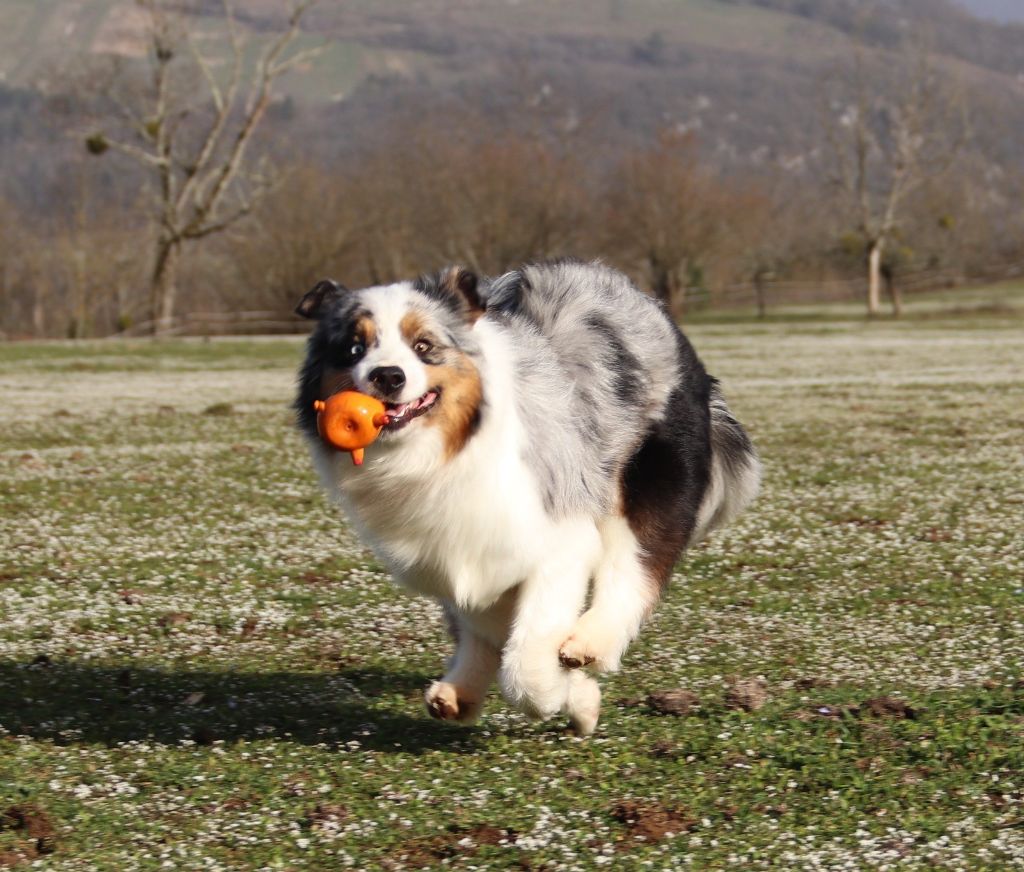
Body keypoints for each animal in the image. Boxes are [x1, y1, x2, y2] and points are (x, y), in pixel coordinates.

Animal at [292, 260, 757, 736]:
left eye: (423, 345)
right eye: (353, 349)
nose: (388, 375)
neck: (440, 452)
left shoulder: (556, 537)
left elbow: (527, 653)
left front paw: (557, 694)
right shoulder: (448, 549)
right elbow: (487, 626)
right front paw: (571, 694)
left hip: (646, 481)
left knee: (632, 571)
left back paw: (590, 641)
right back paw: (460, 690)